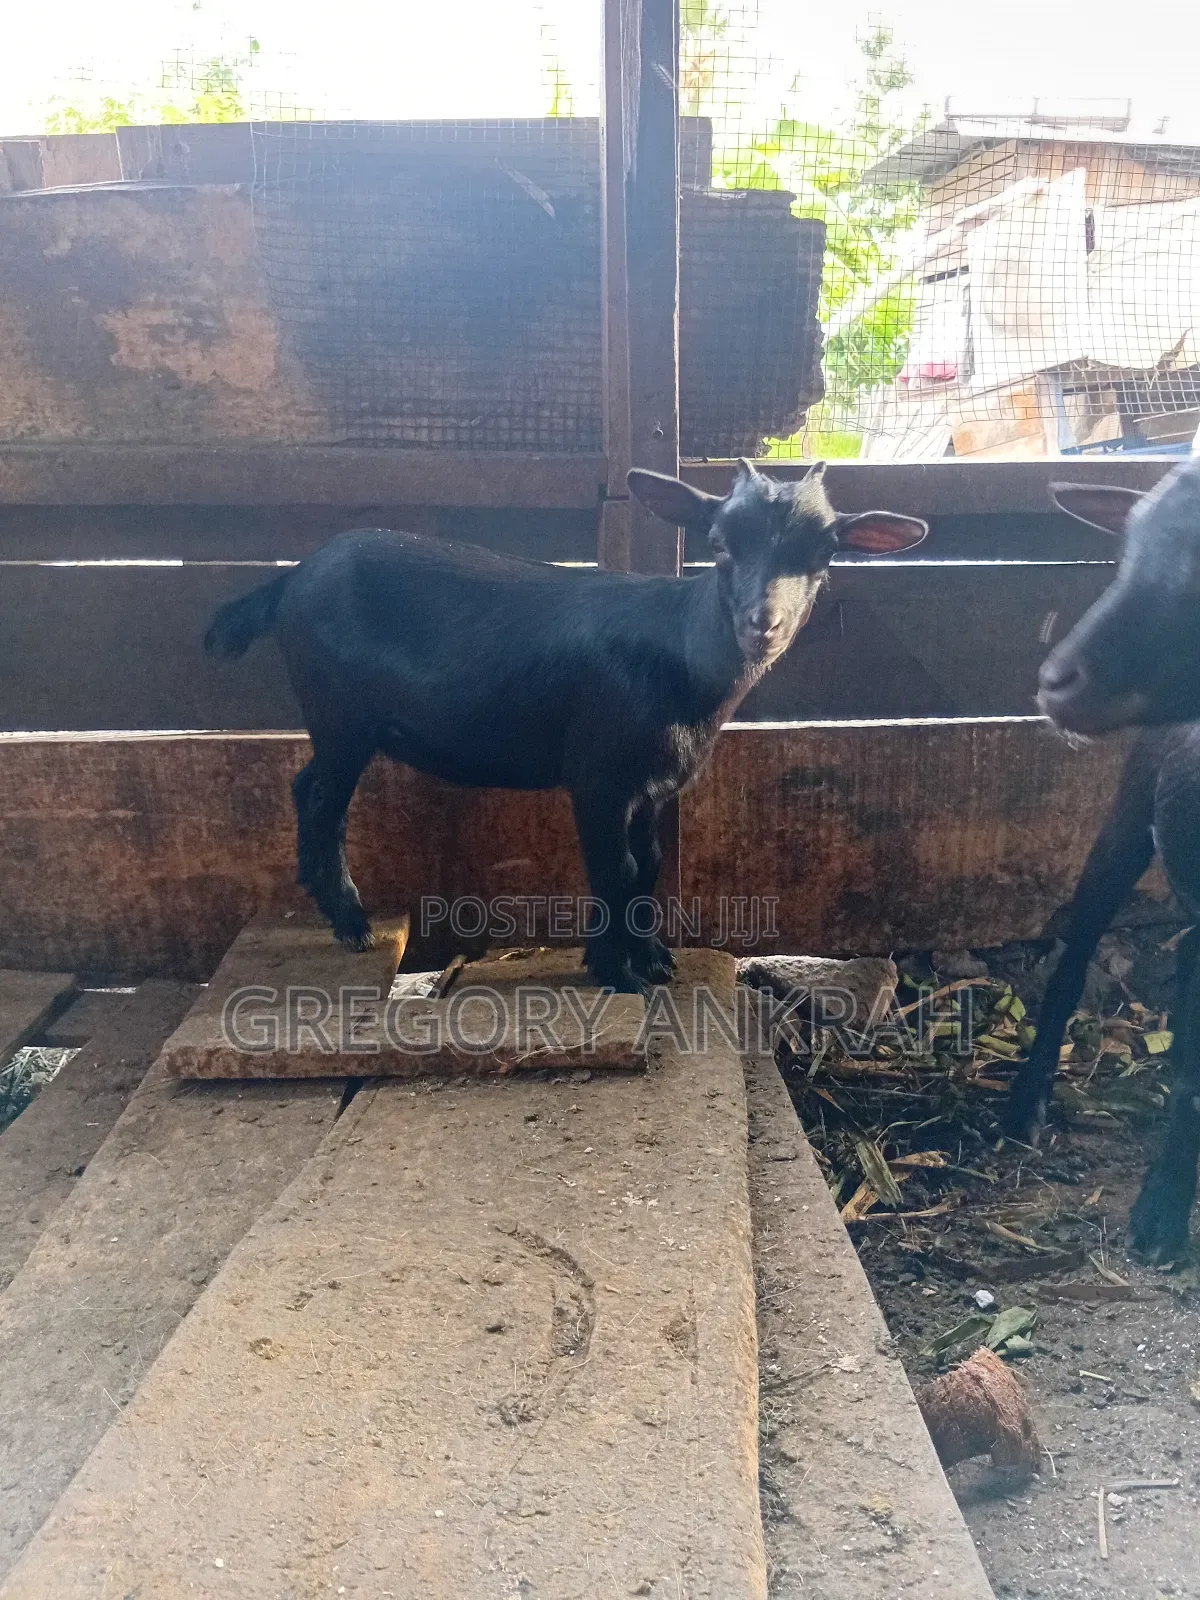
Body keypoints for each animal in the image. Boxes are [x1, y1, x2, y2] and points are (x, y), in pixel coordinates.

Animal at [205, 460, 926, 993]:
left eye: (823, 554)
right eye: (719, 546)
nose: (762, 624)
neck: (681, 657)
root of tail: (292, 578)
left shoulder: (652, 786)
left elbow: (649, 865)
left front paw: (652, 958)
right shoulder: (598, 774)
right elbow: (614, 866)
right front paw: (616, 971)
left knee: (308, 787)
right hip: (339, 712)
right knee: (321, 798)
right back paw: (350, 920)